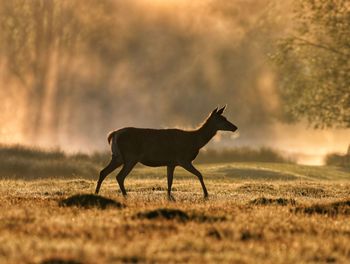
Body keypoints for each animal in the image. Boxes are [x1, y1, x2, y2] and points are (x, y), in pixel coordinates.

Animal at [95, 105, 238, 200]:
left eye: (225, 117)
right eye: (222, 119)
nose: (235, 127)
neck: (194, 141)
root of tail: (113, 134)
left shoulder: (171, 162)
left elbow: (170, 181)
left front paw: (169, 197)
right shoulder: (182, 159)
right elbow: (200, 174)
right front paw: (206, 195)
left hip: (117, 156)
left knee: (103, 172)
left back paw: (96, 193)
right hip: (130, 156)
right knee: (119, 176)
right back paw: (125, 195)